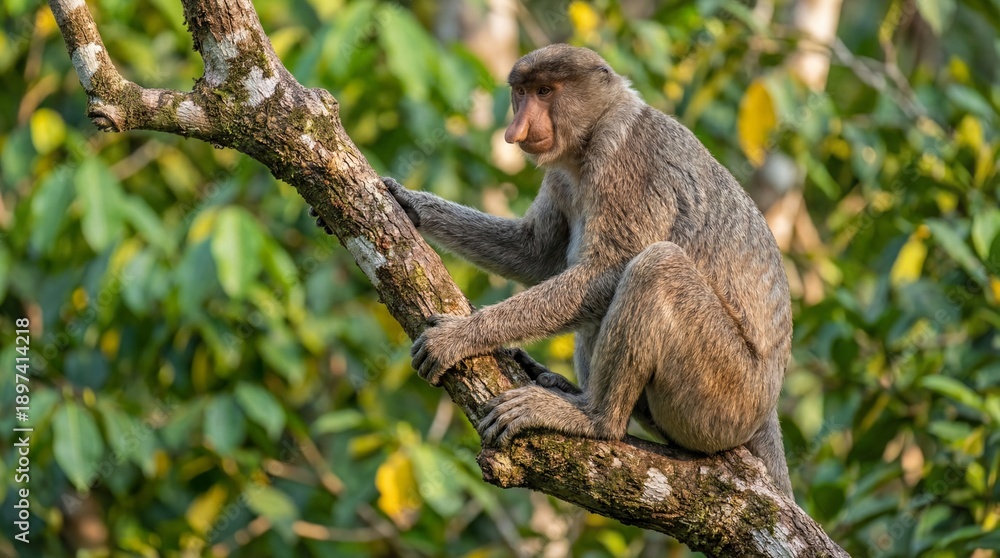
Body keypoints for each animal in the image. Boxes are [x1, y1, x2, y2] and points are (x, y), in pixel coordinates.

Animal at [313, 44, 793, 496]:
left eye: (546, 91)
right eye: (522, 92)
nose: (517, 129)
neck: (595, 130)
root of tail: (767, 410)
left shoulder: (626, 161)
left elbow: (606, 269)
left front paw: (459, 337)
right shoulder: (562, 178)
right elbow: (535, 252)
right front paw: (408, 203)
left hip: (726, 396)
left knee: (657, 266)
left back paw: (594, 418)